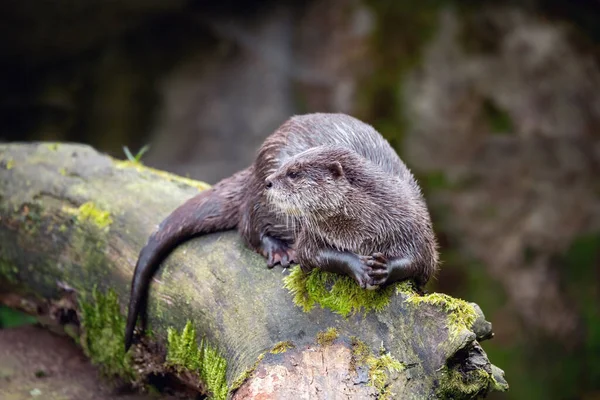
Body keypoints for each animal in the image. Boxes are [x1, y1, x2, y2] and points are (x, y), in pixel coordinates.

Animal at [124, 112, 438, 350]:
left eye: (295, 173)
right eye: (287, 165)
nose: (270, 182)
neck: (362, 228)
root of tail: (254, 171)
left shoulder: (414, 225)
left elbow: (421, 260)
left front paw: (384, 269)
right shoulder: (312, 234)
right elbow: (313, 254)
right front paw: (358, 266)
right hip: (262, 199)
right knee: (247, 225)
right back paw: (279, 250)